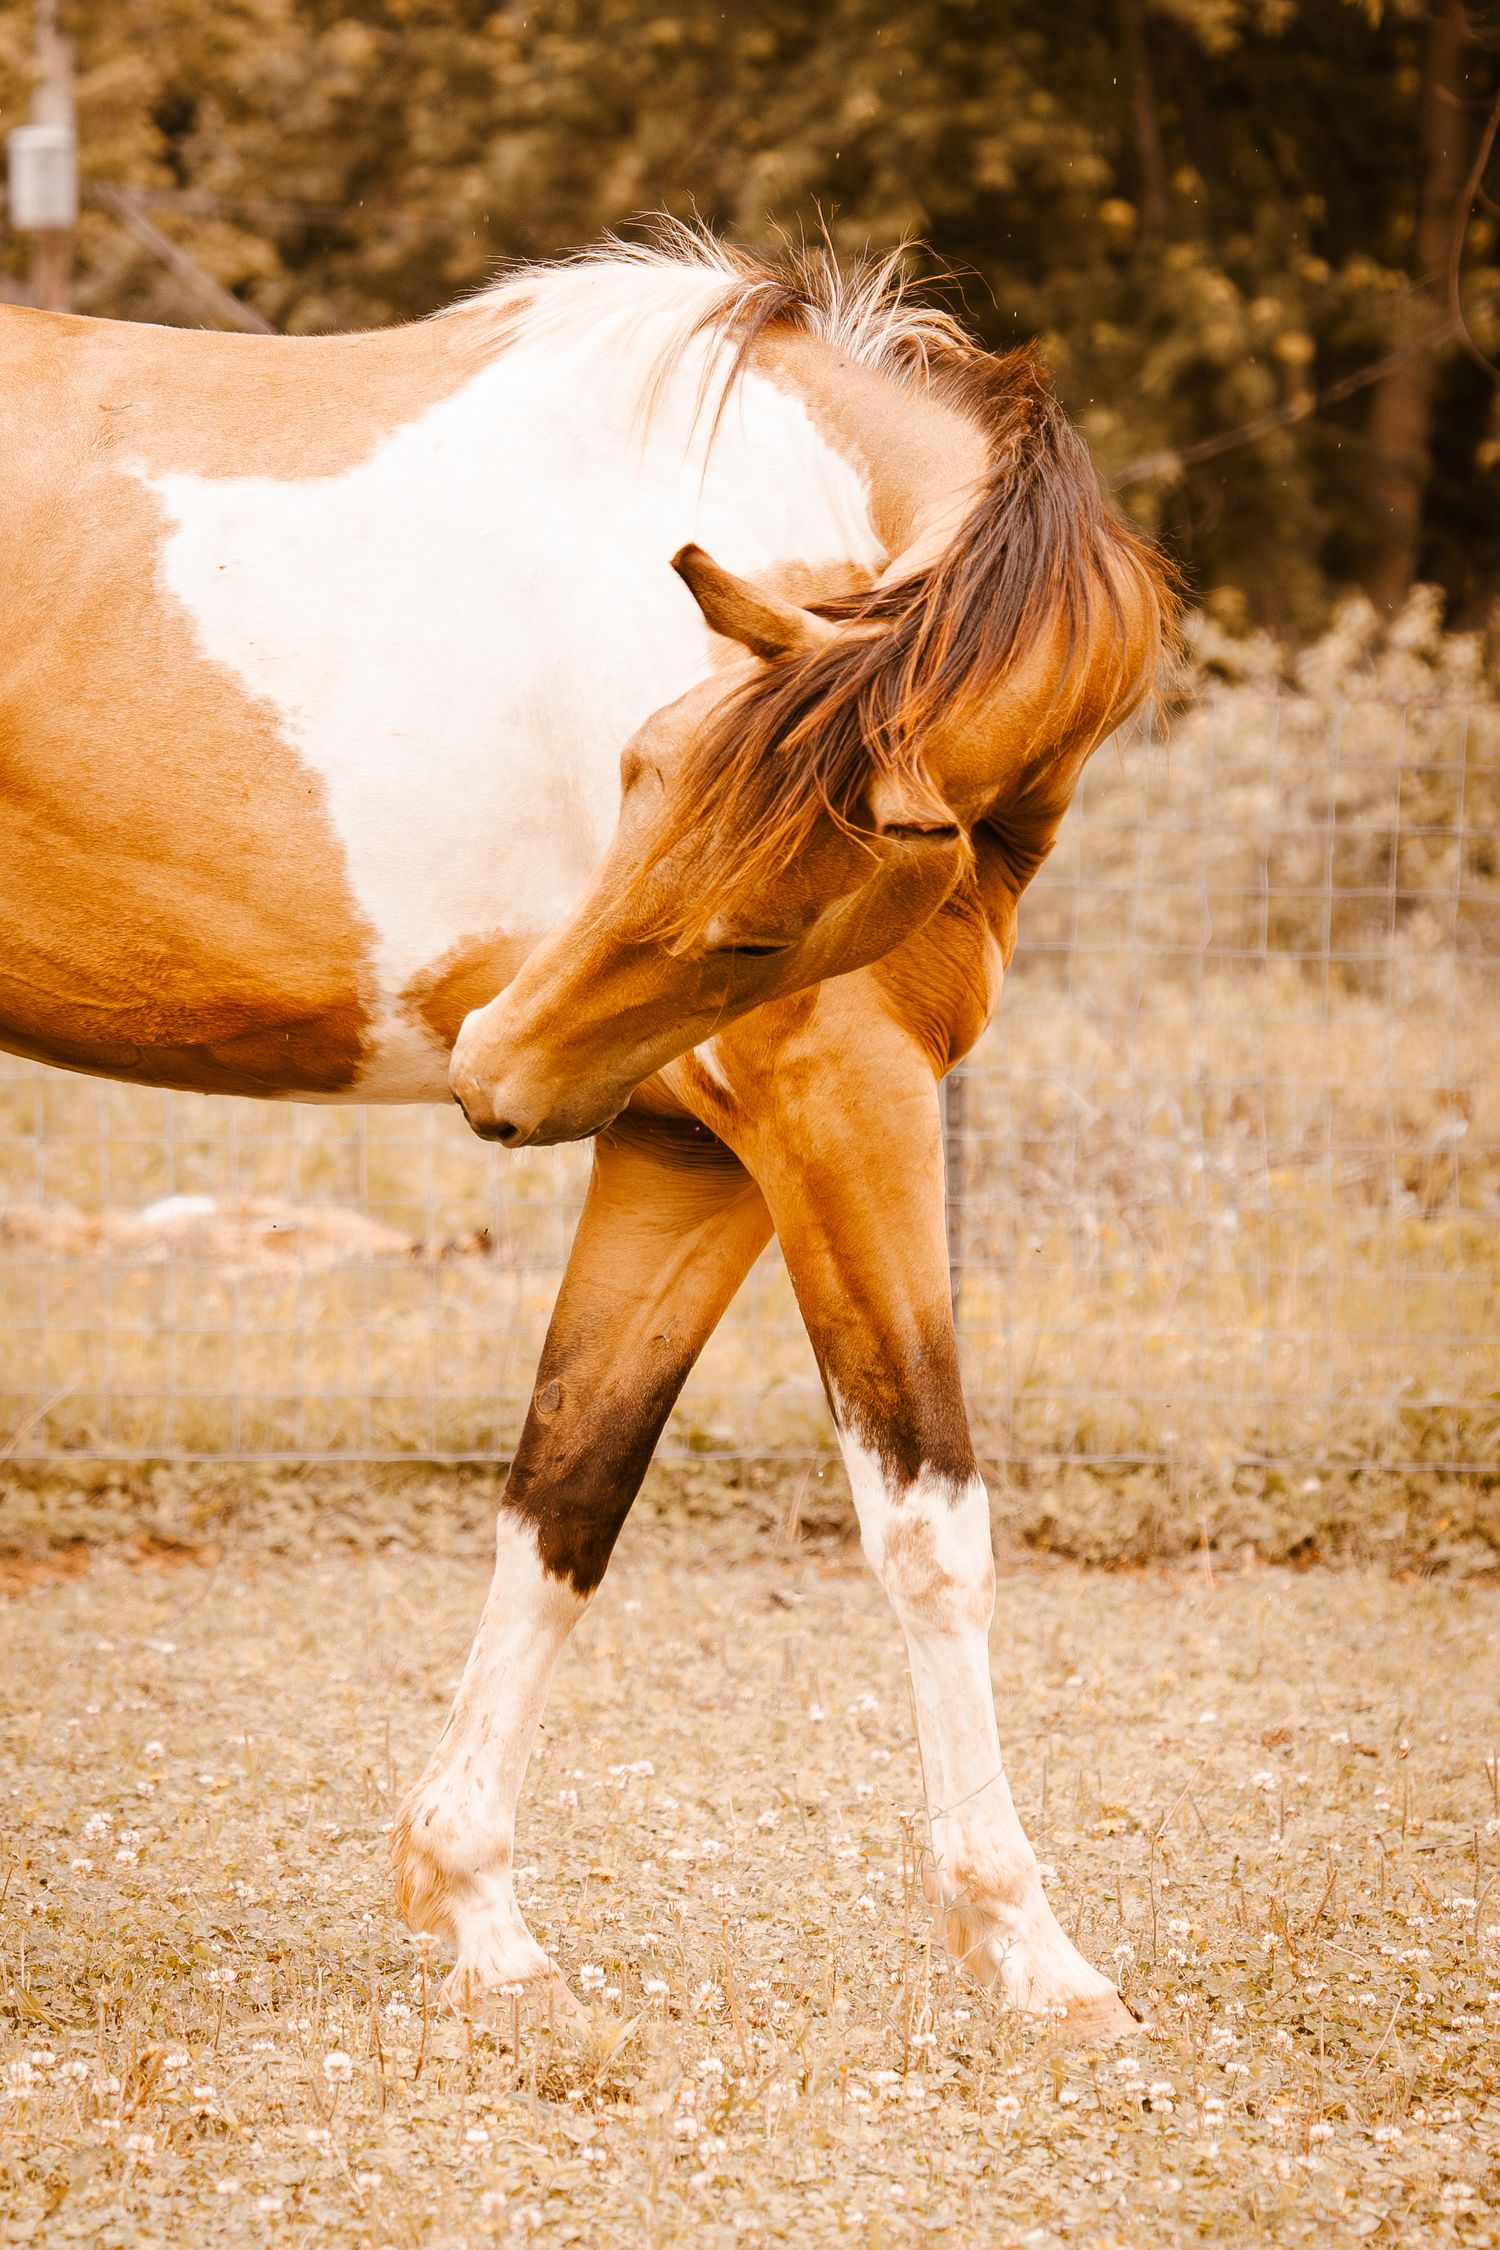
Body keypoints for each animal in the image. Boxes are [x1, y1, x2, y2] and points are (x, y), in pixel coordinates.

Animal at [0, 226, 1172, 2039]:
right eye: (641, 762)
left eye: (759, 930)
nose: (497, 1063)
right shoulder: (841, 1109)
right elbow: (932, 1525)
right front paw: (1031, 1945)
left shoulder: (690, 1156)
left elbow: (568, 1493)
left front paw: (476, 1912)